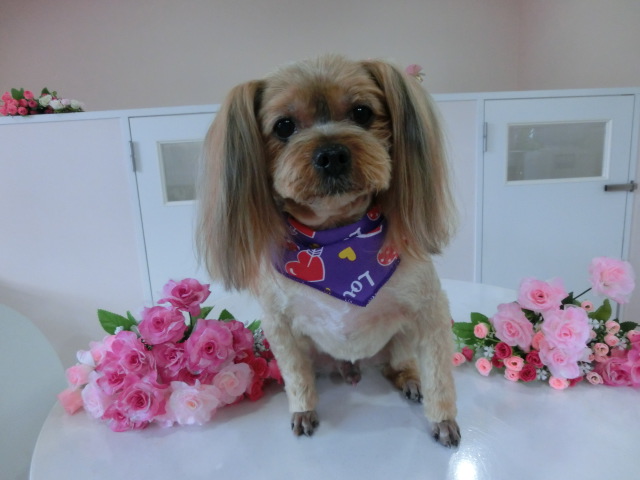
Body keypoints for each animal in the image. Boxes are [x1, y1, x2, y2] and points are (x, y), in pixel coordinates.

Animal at [197, 54, 460, 447]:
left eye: (362, 112)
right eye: (284, 126)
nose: (332, 154)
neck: (337, 238)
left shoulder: (429, 310)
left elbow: (438, 373)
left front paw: (442, 418)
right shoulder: (280, 325)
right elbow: (295, 376)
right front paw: (303, 410)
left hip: (399, 337)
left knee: (398, 362)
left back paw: (409, 378)